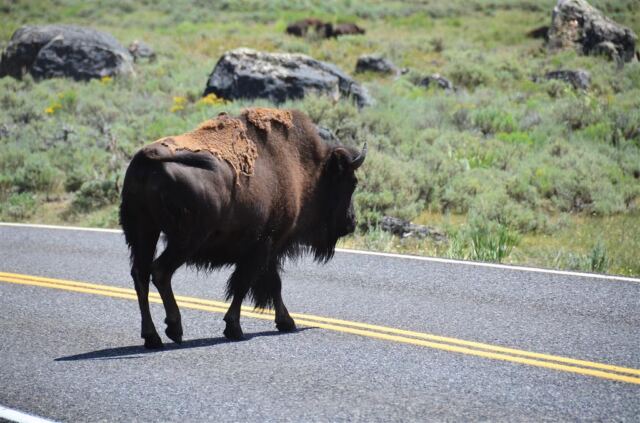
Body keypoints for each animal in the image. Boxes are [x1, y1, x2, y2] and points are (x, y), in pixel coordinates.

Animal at [120, 108, 366, 348]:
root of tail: (147, 157)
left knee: (140, 274)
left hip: (145, 232)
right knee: (160, 271)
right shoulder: (264, 245)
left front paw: (285, 322)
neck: (300, 167)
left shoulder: (268, 250)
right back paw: (174, 329)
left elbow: (271, 283)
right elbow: (246, 284)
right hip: (186, 240)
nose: (351, 222)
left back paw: (152, 337)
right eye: (351, 182)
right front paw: (235, 328)